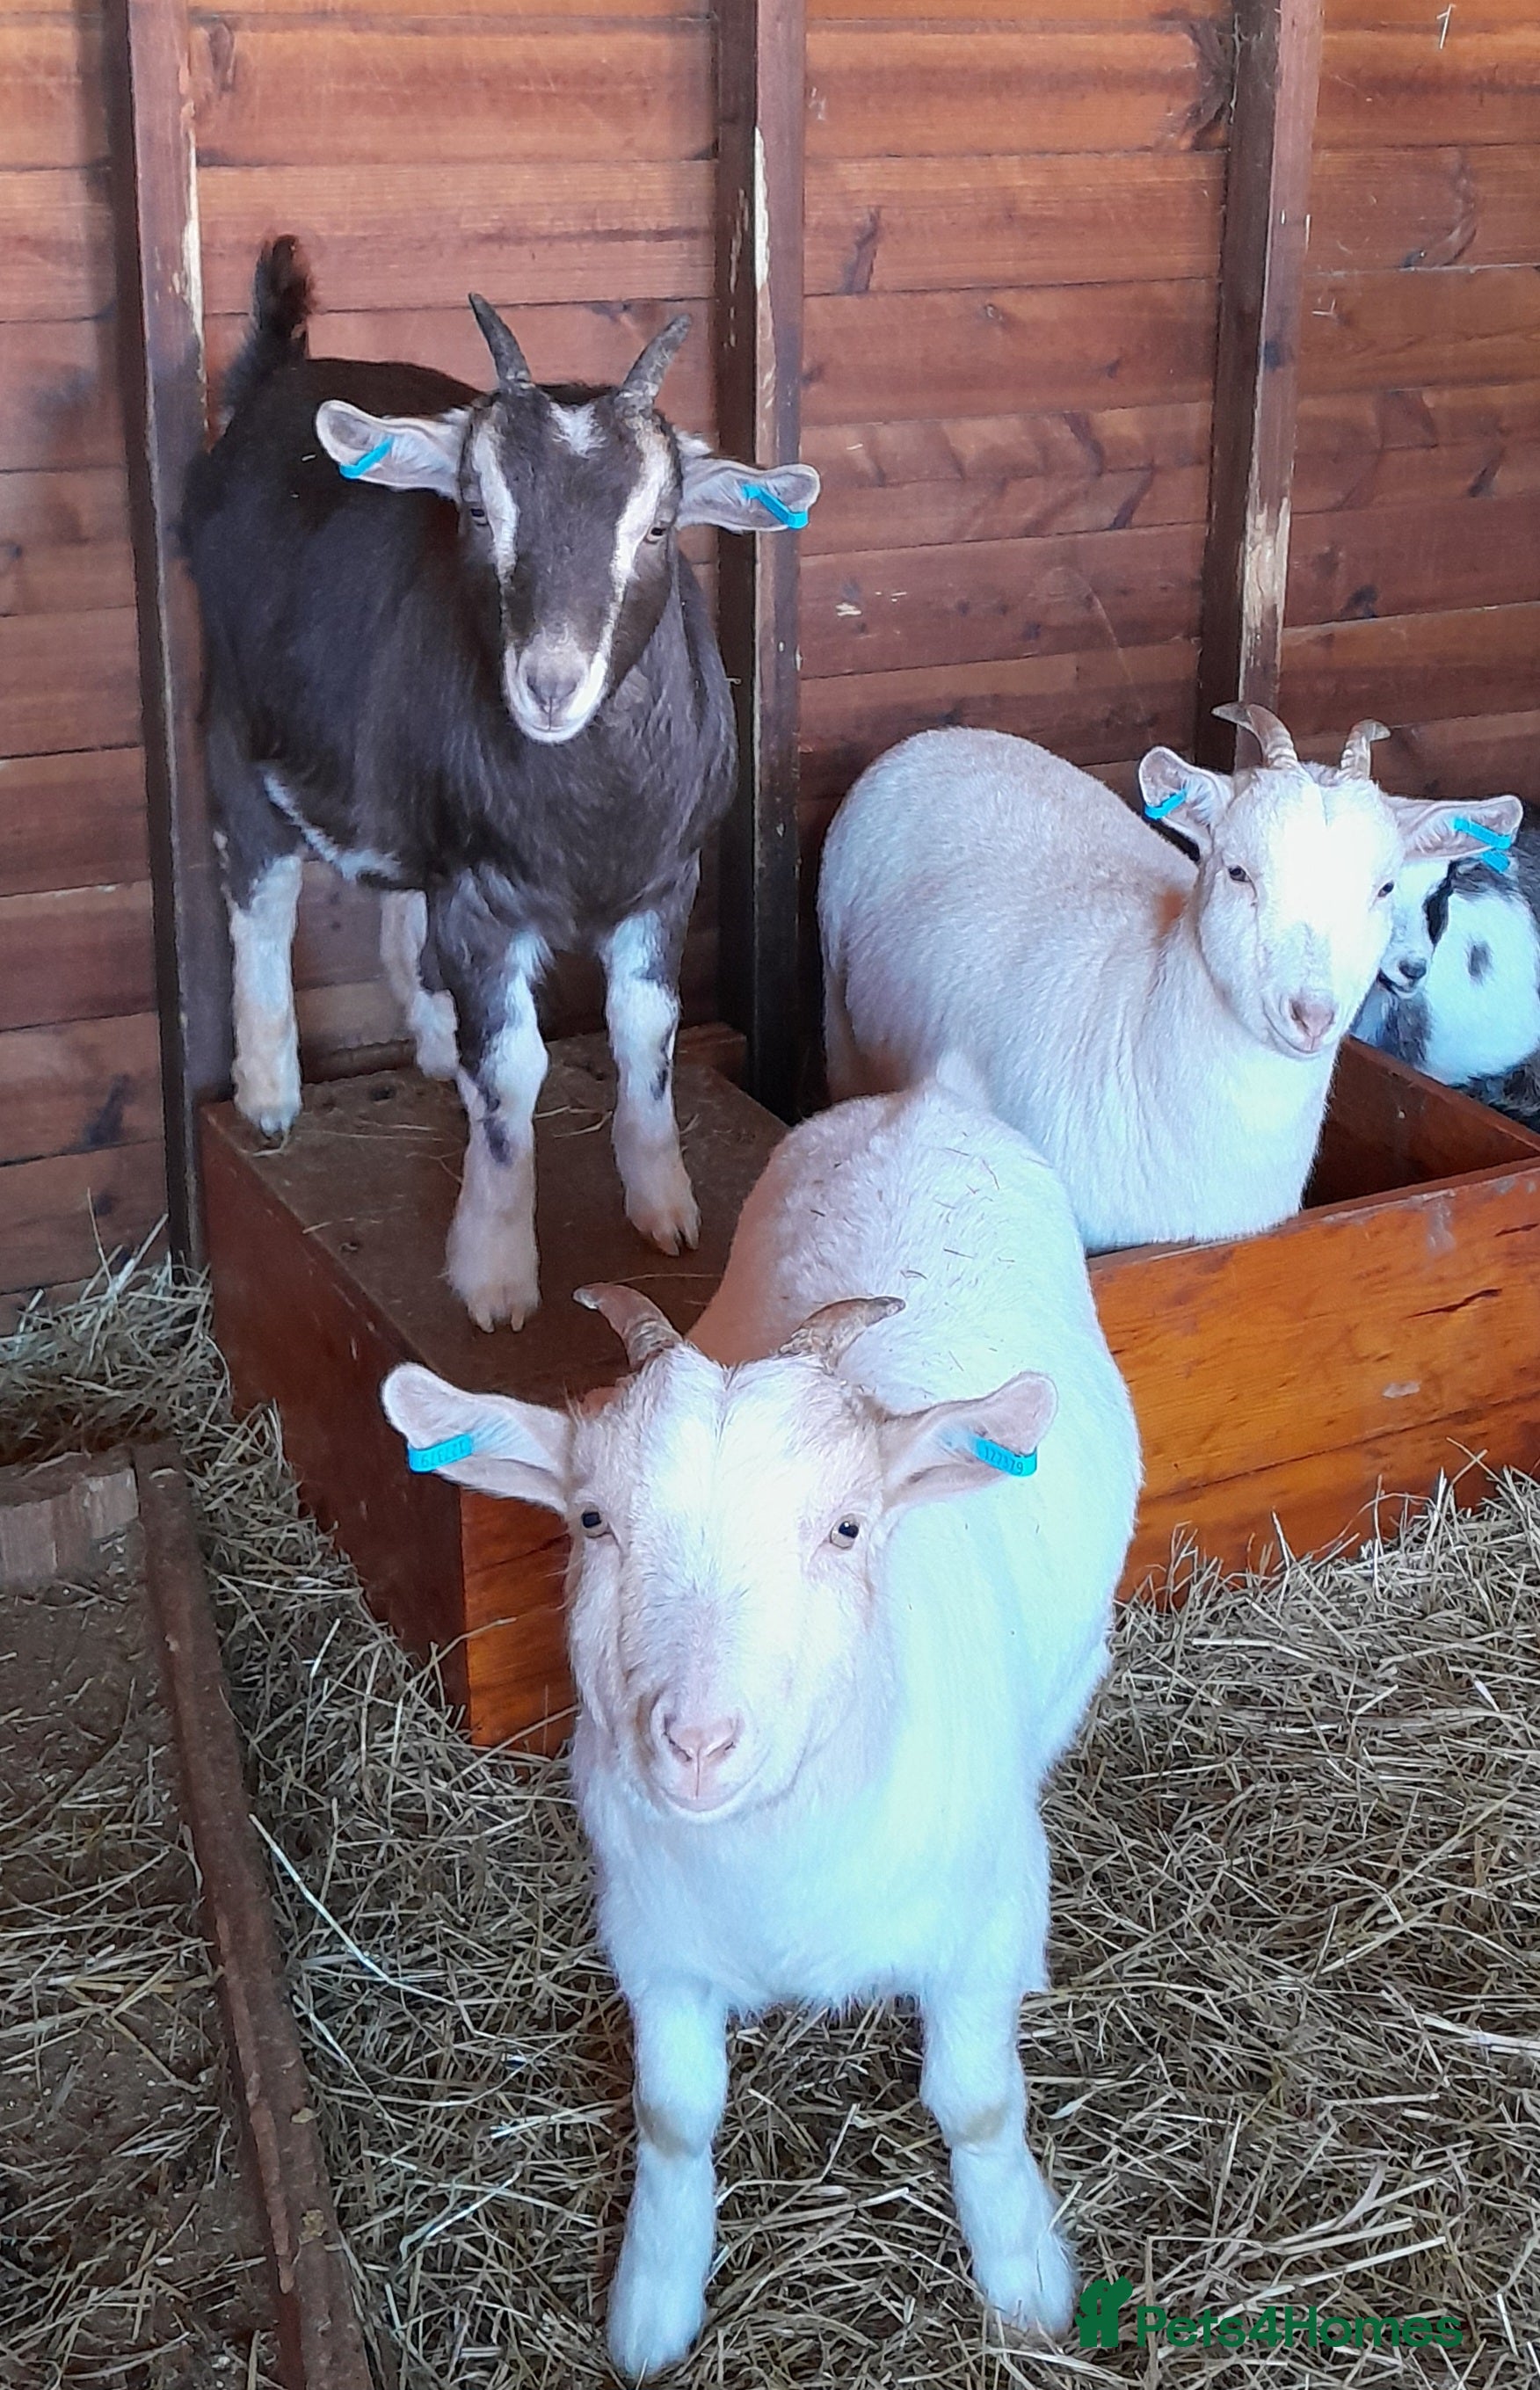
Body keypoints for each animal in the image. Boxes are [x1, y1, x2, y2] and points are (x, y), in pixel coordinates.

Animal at [182, 239, 818, 1328]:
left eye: (659, 529)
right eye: (477, 510)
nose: (550, 685)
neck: (589, 812)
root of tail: (278, 375)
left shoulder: (668, 880)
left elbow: (645, 1031)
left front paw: (663, 1203)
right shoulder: (480, 896)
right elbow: (515, 1066)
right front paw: (495, 1268)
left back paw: (435, 1037)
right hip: (232, 719)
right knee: (259, 893)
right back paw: (268, 1090)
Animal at [382, 1065, 1140, 2375]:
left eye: (846, 1526)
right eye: (593, 1520)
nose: (694, 1742)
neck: (779, 1866)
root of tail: (926, 1095)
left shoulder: (982, 1916)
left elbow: (978, 2098)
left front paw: (1026, 2278)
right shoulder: (653, 1938)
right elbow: (675, 2116)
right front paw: (651, 2304)